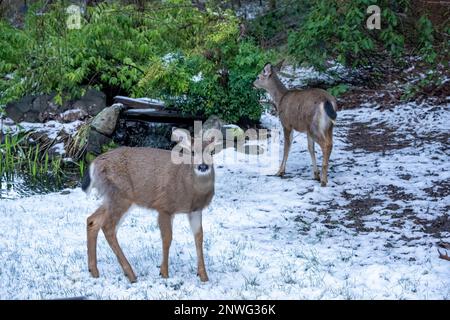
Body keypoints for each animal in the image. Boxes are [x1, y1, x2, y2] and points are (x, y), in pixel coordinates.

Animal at [81, 128, 217, 282]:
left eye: (212, 152)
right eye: (193, 152)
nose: (203, 166)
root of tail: (94, 164)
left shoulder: (195, 210)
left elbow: (199, 237)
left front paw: (204, 276)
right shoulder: (164, 205)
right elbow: (167, 238)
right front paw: (164, 273)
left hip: (113, 198)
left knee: (93, 220)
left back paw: (94, 271)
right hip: (120, 195)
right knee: (108, 227)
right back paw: (131, 274)